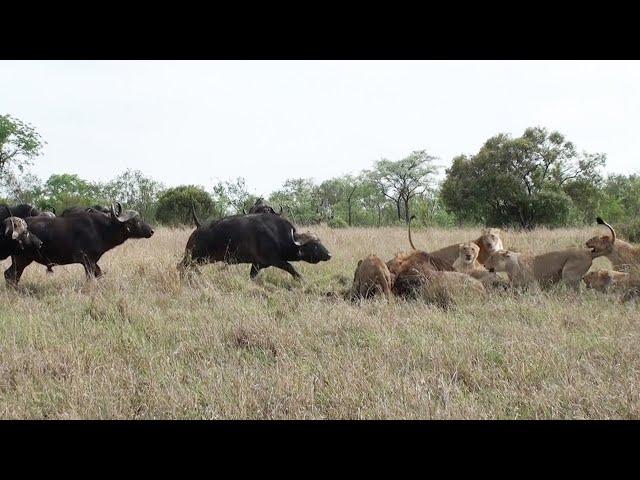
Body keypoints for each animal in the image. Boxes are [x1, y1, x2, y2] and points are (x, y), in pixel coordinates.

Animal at [4, 202, 154, 284]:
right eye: (135, 221)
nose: (151, 231)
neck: (101, 229)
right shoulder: (87, 261)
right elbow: (91, 278)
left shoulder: (93, 262)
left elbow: (99, 274)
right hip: (21, 259)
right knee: (10, 275)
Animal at [179, 208, 332, 280]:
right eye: (314, 245)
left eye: (320, 242)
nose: (329, 254)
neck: (279, 235)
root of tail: (198, 229)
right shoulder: (276, 261)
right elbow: (292, 269)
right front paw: (302, 280)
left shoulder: (257, 265)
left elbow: (252, 277)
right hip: (194, 258)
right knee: (181, 266)